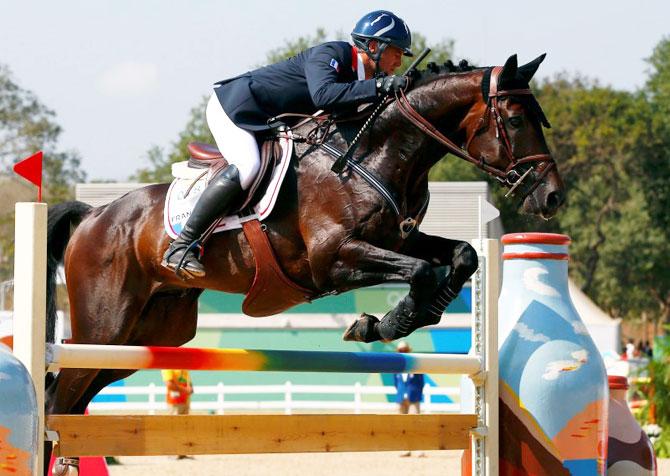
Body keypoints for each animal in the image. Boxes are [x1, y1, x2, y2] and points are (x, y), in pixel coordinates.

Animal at [43, 54, 568, 470]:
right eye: (516, 120)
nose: (552, 197)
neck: (374, 157)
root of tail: (94, 215)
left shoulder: (400, 239)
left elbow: (463, 254)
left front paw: (410, 314)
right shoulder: (332, 260)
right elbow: (418, 271)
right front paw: (386, 322)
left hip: (149, 336)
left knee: (72, 398)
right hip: (105, 329)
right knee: (59, 394)